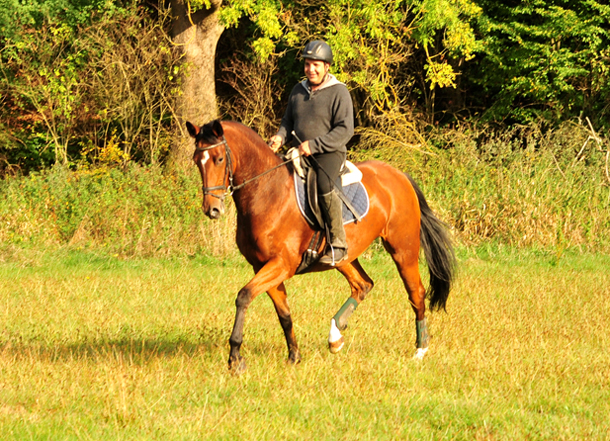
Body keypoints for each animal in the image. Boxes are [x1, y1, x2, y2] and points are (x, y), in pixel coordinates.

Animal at [188, 117, 454, 372]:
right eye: (197, 161)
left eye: (219, 158)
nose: (212, 209)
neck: (267, 192)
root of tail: (398, 175)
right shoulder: (262, 266)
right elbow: (284, 313)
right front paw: (294, 356)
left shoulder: (281, 264)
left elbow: (243, 297)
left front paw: (235, 358)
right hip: (344, 257)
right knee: (363, 285)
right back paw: (335, 337)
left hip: (403, 250)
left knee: (416, 292)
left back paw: (420, 349)